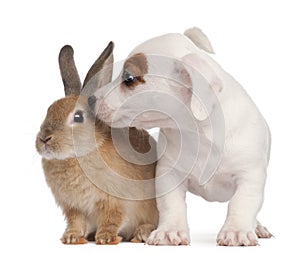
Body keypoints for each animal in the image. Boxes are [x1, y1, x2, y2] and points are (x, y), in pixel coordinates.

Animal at [35, 42, 158, 245]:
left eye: (78, 117)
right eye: (49, 110)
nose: (45, 139)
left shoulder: (115, 201)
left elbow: (112, 218)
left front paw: (106, 238)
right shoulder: (73, 207)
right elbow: (76, 222)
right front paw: (71, 237)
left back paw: (142, 233)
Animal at [90, 27, 274, 245]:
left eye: (129, 78)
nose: (90, 99)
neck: (197, 133)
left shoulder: (249, 176)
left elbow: (242, 203)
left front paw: (236, 231)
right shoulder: (168, 174)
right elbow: (171, 204)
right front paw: (170, 230)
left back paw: (258, 227)